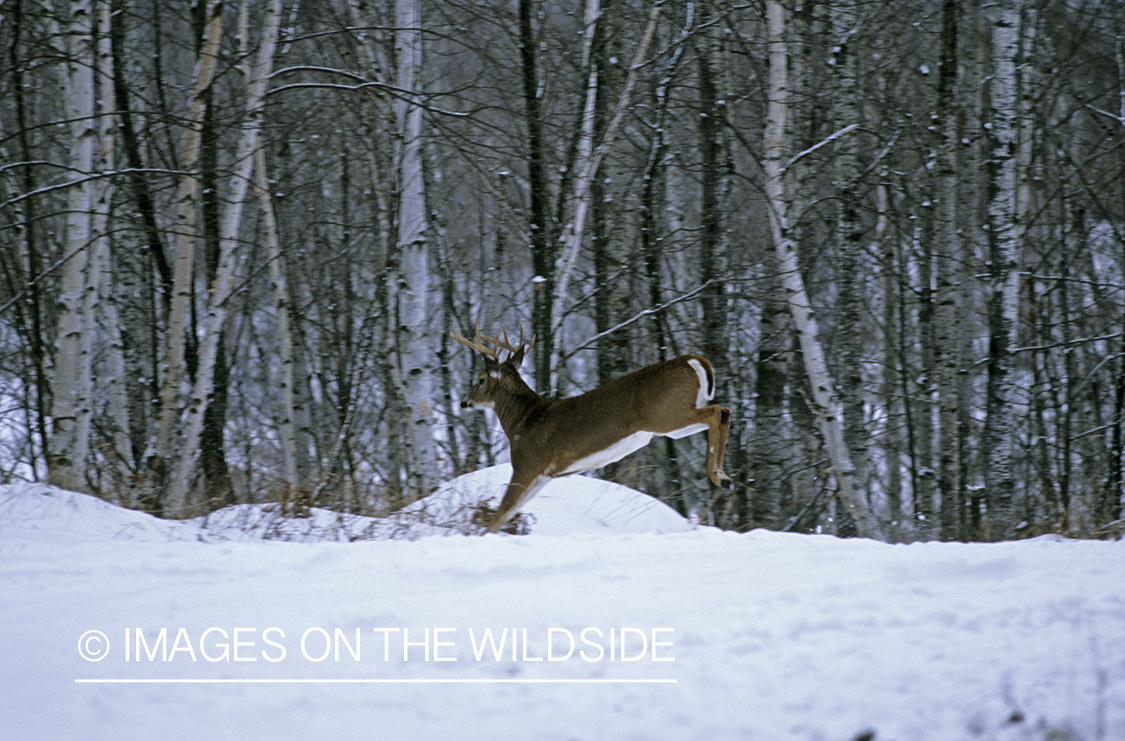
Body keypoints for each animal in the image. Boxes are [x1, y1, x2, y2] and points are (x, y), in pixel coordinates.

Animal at [452, 323, 733, 532]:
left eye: (480, 379)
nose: (464, 401)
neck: (522, 422)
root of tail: (695, 360)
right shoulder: (544, 475)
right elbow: (507, 515)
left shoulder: (527, 464)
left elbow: (498, 516)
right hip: (672, 421)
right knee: (724, 412)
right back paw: (725, 477)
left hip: (665, 414)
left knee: (717, 412)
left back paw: (718, 476)